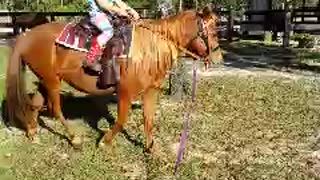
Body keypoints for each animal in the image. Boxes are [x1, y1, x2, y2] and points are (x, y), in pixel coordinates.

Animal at [6, 7, 224, 151]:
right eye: (212, 31)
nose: (218, 58)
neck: (147, 49)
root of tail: (26, 36)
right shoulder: (125, 93)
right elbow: (121, 120)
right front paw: (104, 141)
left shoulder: (150, 91)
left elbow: (148, 119)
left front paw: (151, 149)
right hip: (52, 81)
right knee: (55, 109)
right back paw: (75, 139)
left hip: (45, 79)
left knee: (35, 104)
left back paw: (32, 132)